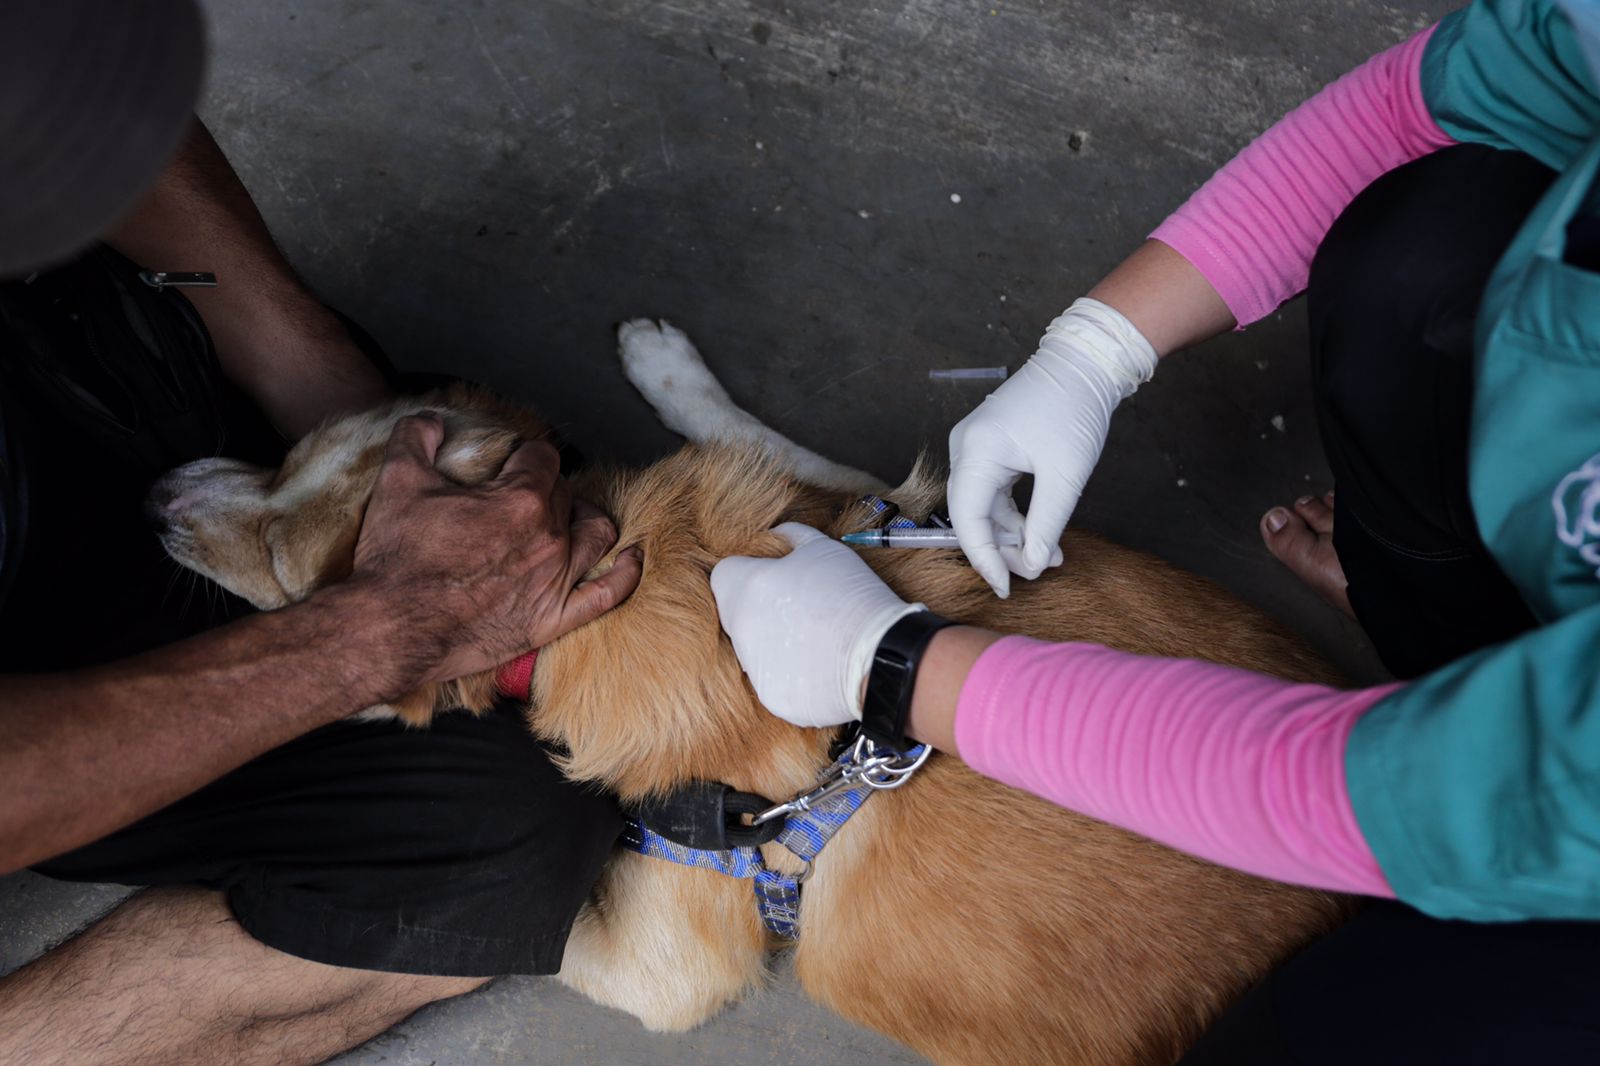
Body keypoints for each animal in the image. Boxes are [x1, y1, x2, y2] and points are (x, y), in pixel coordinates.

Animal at [150, 321, 1350, 1065]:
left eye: (279, 567)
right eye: (287, 453)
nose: (156, 492)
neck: (611, 571)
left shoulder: (668, 961)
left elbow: (521, 939)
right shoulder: (858, 510)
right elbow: (770, 439)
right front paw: (667, 364)